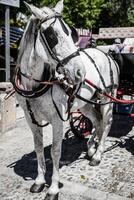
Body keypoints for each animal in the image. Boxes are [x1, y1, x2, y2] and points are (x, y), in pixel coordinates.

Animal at [14, 0, 119, 199]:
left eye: (71, 33)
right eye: (52, 35)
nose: (80, 72)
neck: (35, 84)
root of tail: (106, 54)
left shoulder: (57, 119)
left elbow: (55, 151)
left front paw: (53, 188)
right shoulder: (31, 118)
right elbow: (39, 147)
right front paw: (39, 181)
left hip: (106, 98)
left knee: (107, 123)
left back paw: (98, 155)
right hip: (86, 103)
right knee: (97, 121)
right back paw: (91, 149)